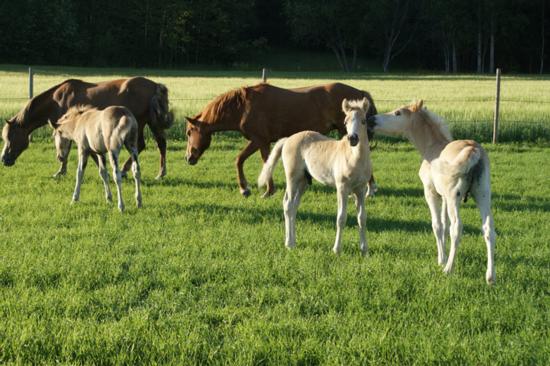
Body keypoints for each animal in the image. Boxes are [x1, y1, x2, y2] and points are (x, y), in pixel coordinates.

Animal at [1, 76, 174, 179]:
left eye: (10, 137)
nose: (4, 159)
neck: (57, 100)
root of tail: (155, 86)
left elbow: (67, 151)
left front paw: (60, 172)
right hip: (151, 122)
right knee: (160, 144)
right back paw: (160, 173)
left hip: (140, 123)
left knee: (142, 145)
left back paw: (126, 170)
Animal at [185, 82, 380, 197]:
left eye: (188, 133)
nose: (188, 157)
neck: (243, 107)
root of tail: (359, 92)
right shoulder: (259, 142)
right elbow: (244, 160)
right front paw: (250, 189)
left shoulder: (260, 140)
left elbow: (255, 161)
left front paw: (260, 190)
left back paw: (370, 188)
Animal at [260, 98, 376, 256]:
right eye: (345, 122)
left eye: (364, 121)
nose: (352, 138)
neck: (354, 158)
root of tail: (288, 139)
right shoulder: (342, 188)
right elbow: (341, 218)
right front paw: (336, 249)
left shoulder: (361, 189)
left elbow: (362, 218)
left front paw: (364, 251)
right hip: (293, 177)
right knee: (288, 204)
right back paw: (289, 243)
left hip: (303, 181)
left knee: (294, 206)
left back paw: (293, 242)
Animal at [374, 101, 498, 284]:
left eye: (397, 113)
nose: (371, 119)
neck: (432, 146)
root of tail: (473, 150)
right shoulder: (444, 197)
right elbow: (444, 225)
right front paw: (443, 257)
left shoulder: (431, 193)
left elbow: (437, 225)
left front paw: (441, 260)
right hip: (482, 195)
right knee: (488, 229)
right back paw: (490, 276)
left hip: (455, 198)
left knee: (456, 228)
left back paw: (449, 269)